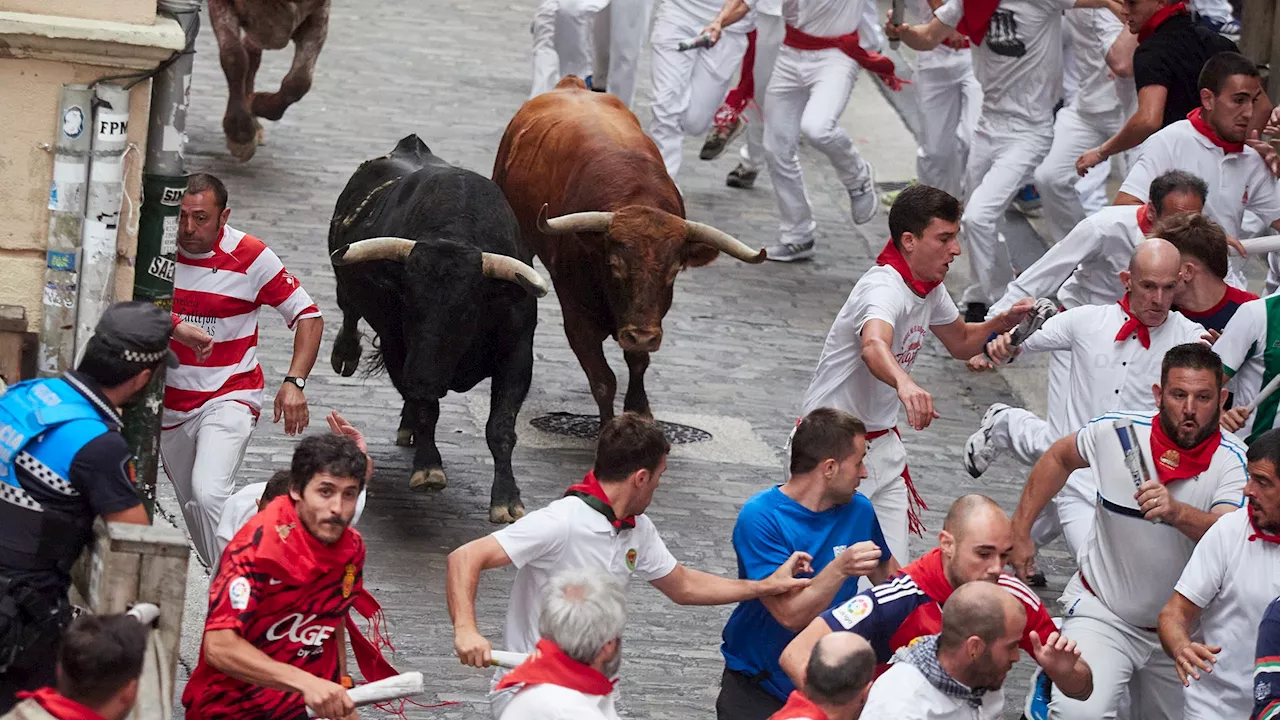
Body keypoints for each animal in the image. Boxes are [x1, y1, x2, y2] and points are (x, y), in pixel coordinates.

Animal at [207, 0, 327, 159]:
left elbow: (299, 81)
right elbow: (234, 57)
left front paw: (256, 103)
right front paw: (240, 134)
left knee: (252, 53)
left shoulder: (317, 14)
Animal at [325, 134, 545, 520]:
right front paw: (428, 468)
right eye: (408, 302)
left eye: (466, 310)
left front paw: (507, 499)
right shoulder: (398, 348)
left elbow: (501, 427)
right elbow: (427, 407)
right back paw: (347, 355)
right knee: (349, 310)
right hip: (348, 287)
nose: (423, 377)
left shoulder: (518, 354)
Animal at [494, 78, 762, 422]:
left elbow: (638, 362)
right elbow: (603, 379)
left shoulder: (648, 320)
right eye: (615, 264)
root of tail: (572, 84)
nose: (642, 336)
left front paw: (639, 410)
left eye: (674, 271)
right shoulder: (577, 318)